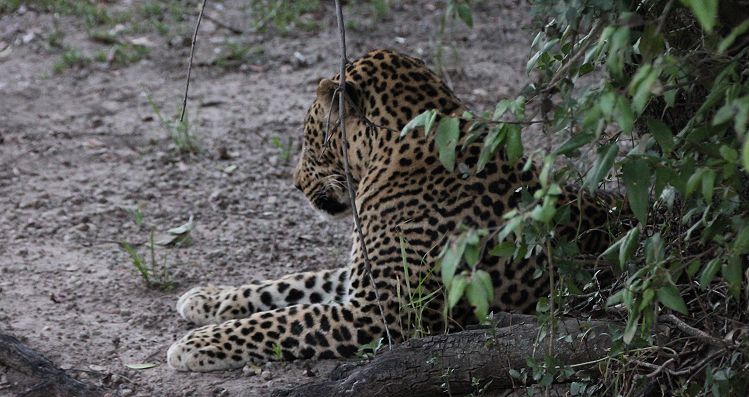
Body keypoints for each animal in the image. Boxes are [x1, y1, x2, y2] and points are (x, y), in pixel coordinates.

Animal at [168, 49, 620, 372]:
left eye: (309, 140)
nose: (295, 183)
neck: (394, 153)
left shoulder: (378, 312)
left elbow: (284, 319)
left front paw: (195, 343)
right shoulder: (361, 280)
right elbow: (289, 283)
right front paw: (207, 298)